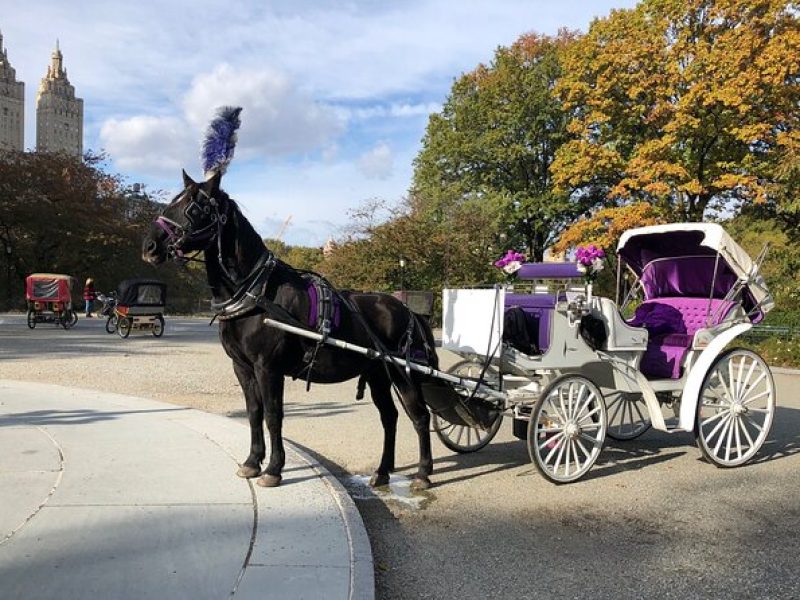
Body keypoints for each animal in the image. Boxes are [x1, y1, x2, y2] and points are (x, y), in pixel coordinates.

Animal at [145, 171, 444, 490]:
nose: (149, 246)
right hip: (378, 374)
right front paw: (252, 462)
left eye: (194, 206)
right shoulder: (242, 367)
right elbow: (254, 412)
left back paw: (423, 473)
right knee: (389, 417)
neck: (257, 293)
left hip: (402, 374)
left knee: (419, 416)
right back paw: (383, 471)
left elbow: (273, 414)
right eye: (173, 201)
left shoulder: (268, 368)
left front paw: (273, 469)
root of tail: (408, 310)